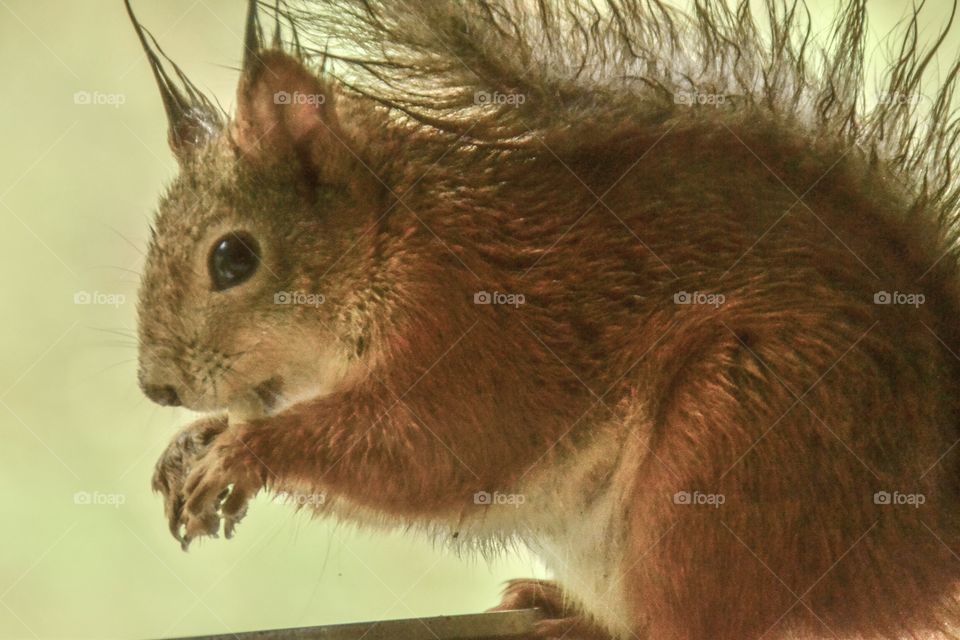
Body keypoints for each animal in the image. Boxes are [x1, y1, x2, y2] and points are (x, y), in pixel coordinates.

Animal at [128, 0, 960, 639]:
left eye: (233, 258)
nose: (158, 388)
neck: (391, 239)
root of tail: (920, 555)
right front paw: (193, 443)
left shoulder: (475, 322)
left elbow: (431, 448)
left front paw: (246, 451)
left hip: (736, 442)